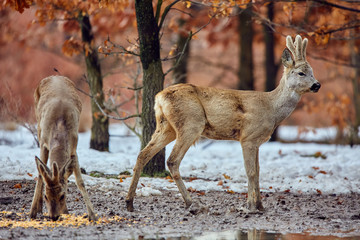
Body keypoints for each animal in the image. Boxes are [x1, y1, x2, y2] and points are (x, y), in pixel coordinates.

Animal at [29, 76, 96, 220]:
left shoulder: (74, 146)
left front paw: (92, 215)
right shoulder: (43, 143)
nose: (53, 216)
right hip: (38, 123)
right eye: (46, 196)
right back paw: (38, 208)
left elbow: (80, 181)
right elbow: (40, 175)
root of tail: (55, 76)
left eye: (62, 196)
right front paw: (32, 213)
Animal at [125, 34, 320, 212]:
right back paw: (192, 204)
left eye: (312, 71)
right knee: (172, 160)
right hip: (191, 123)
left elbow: (258, 172)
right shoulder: (248, 137)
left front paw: (260, 206)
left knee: (143, 154)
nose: (317, 85)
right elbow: (250, 172)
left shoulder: (257, 142)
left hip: (166, 127)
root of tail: (159, 97)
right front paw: (250, 206)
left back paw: (130, 203)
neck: (271, 108)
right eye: (301, 73)